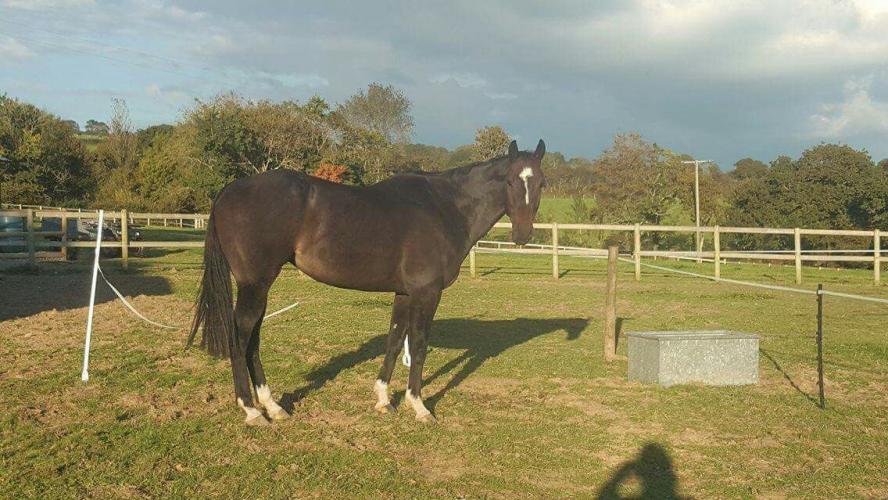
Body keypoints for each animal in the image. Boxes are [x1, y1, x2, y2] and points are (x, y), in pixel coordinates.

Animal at [188, 139, 547, 425]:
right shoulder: (426, 293)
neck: (445, 208)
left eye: (542, 183)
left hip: (259, 288)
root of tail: (231, 189)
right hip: (255, 286)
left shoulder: (404, 293)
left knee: (253, 341)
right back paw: (251, 411)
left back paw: (273, 406)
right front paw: (419, 406)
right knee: (240, 339)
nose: (523, 235)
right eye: (511, 181)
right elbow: (419, 345)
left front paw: (384, 400)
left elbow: (394, 341)